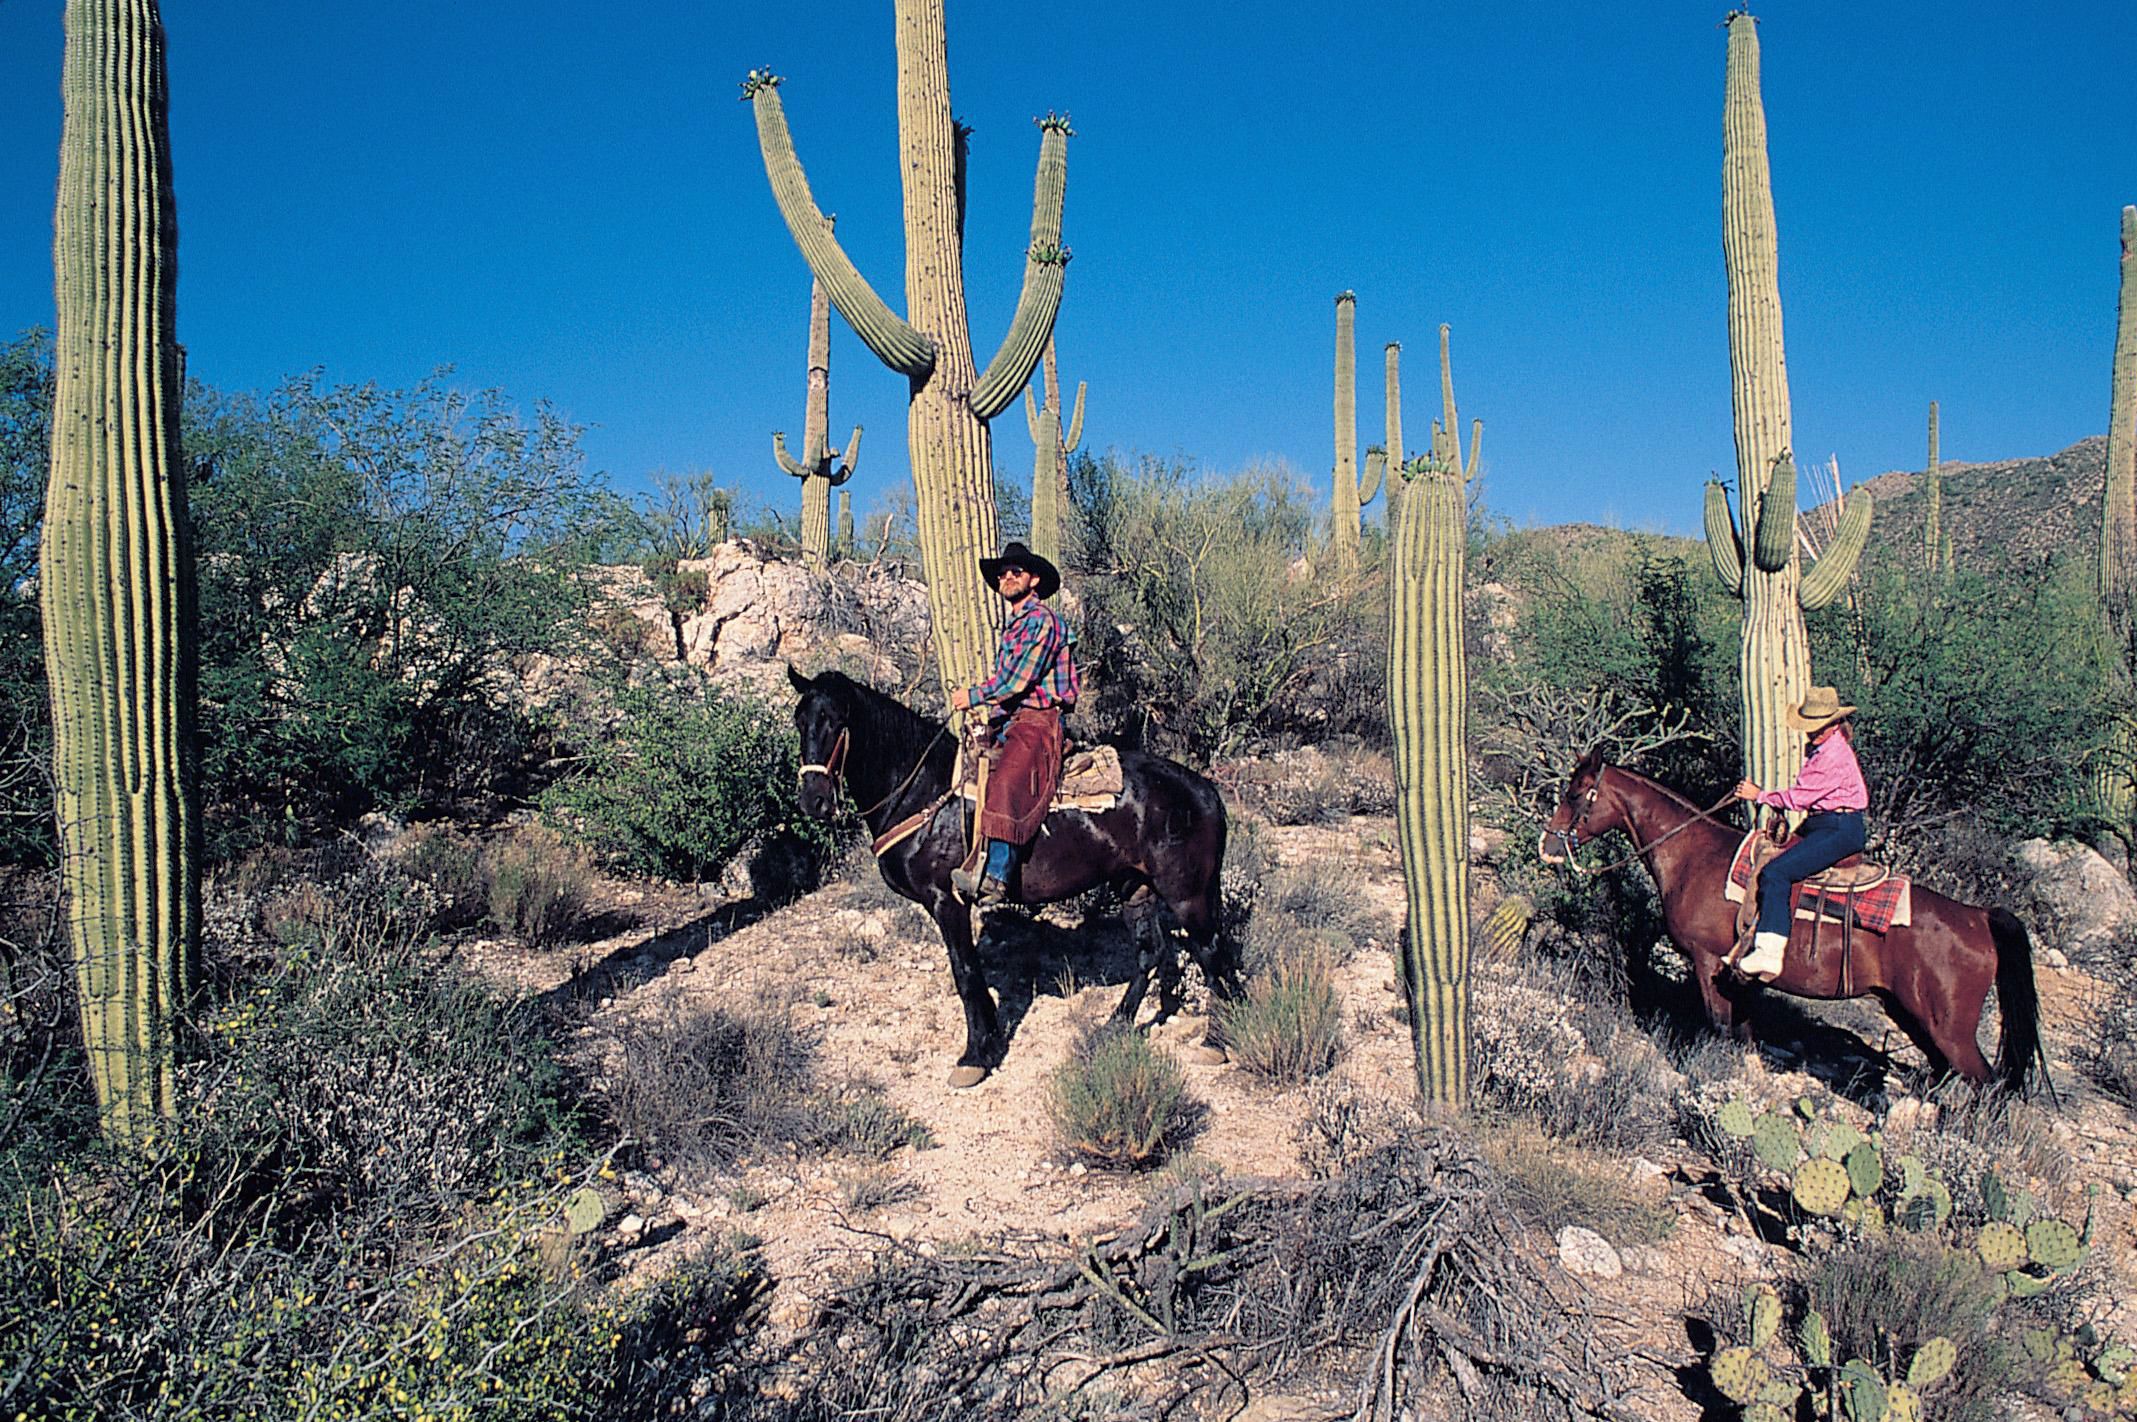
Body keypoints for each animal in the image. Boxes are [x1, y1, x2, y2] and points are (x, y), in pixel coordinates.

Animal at [794, 667, 1239, 1086]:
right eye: (800, 720)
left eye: (835, 719)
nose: (813, 800)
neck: (924, 791)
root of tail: (1205, 791)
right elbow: (973, 973)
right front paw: (990, 1042)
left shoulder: (946, 900)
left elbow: (965, 973)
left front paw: (974, 1057)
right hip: (1135, 887)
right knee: (1151, 953)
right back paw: (1114, 1026)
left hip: (1187, 894)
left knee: (1212, 952)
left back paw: (1216, 1041)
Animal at [1538, 752, 2034, 1086]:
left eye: (1576, 795)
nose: (1548, 845)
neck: (1693, 855)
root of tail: (1978, 917)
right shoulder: (1735, 977)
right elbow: (1742, 1033)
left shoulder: (1707, 961)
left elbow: (1719, 1027)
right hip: (1913, 1016)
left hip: (1950, 1029)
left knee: (1984, 1085)